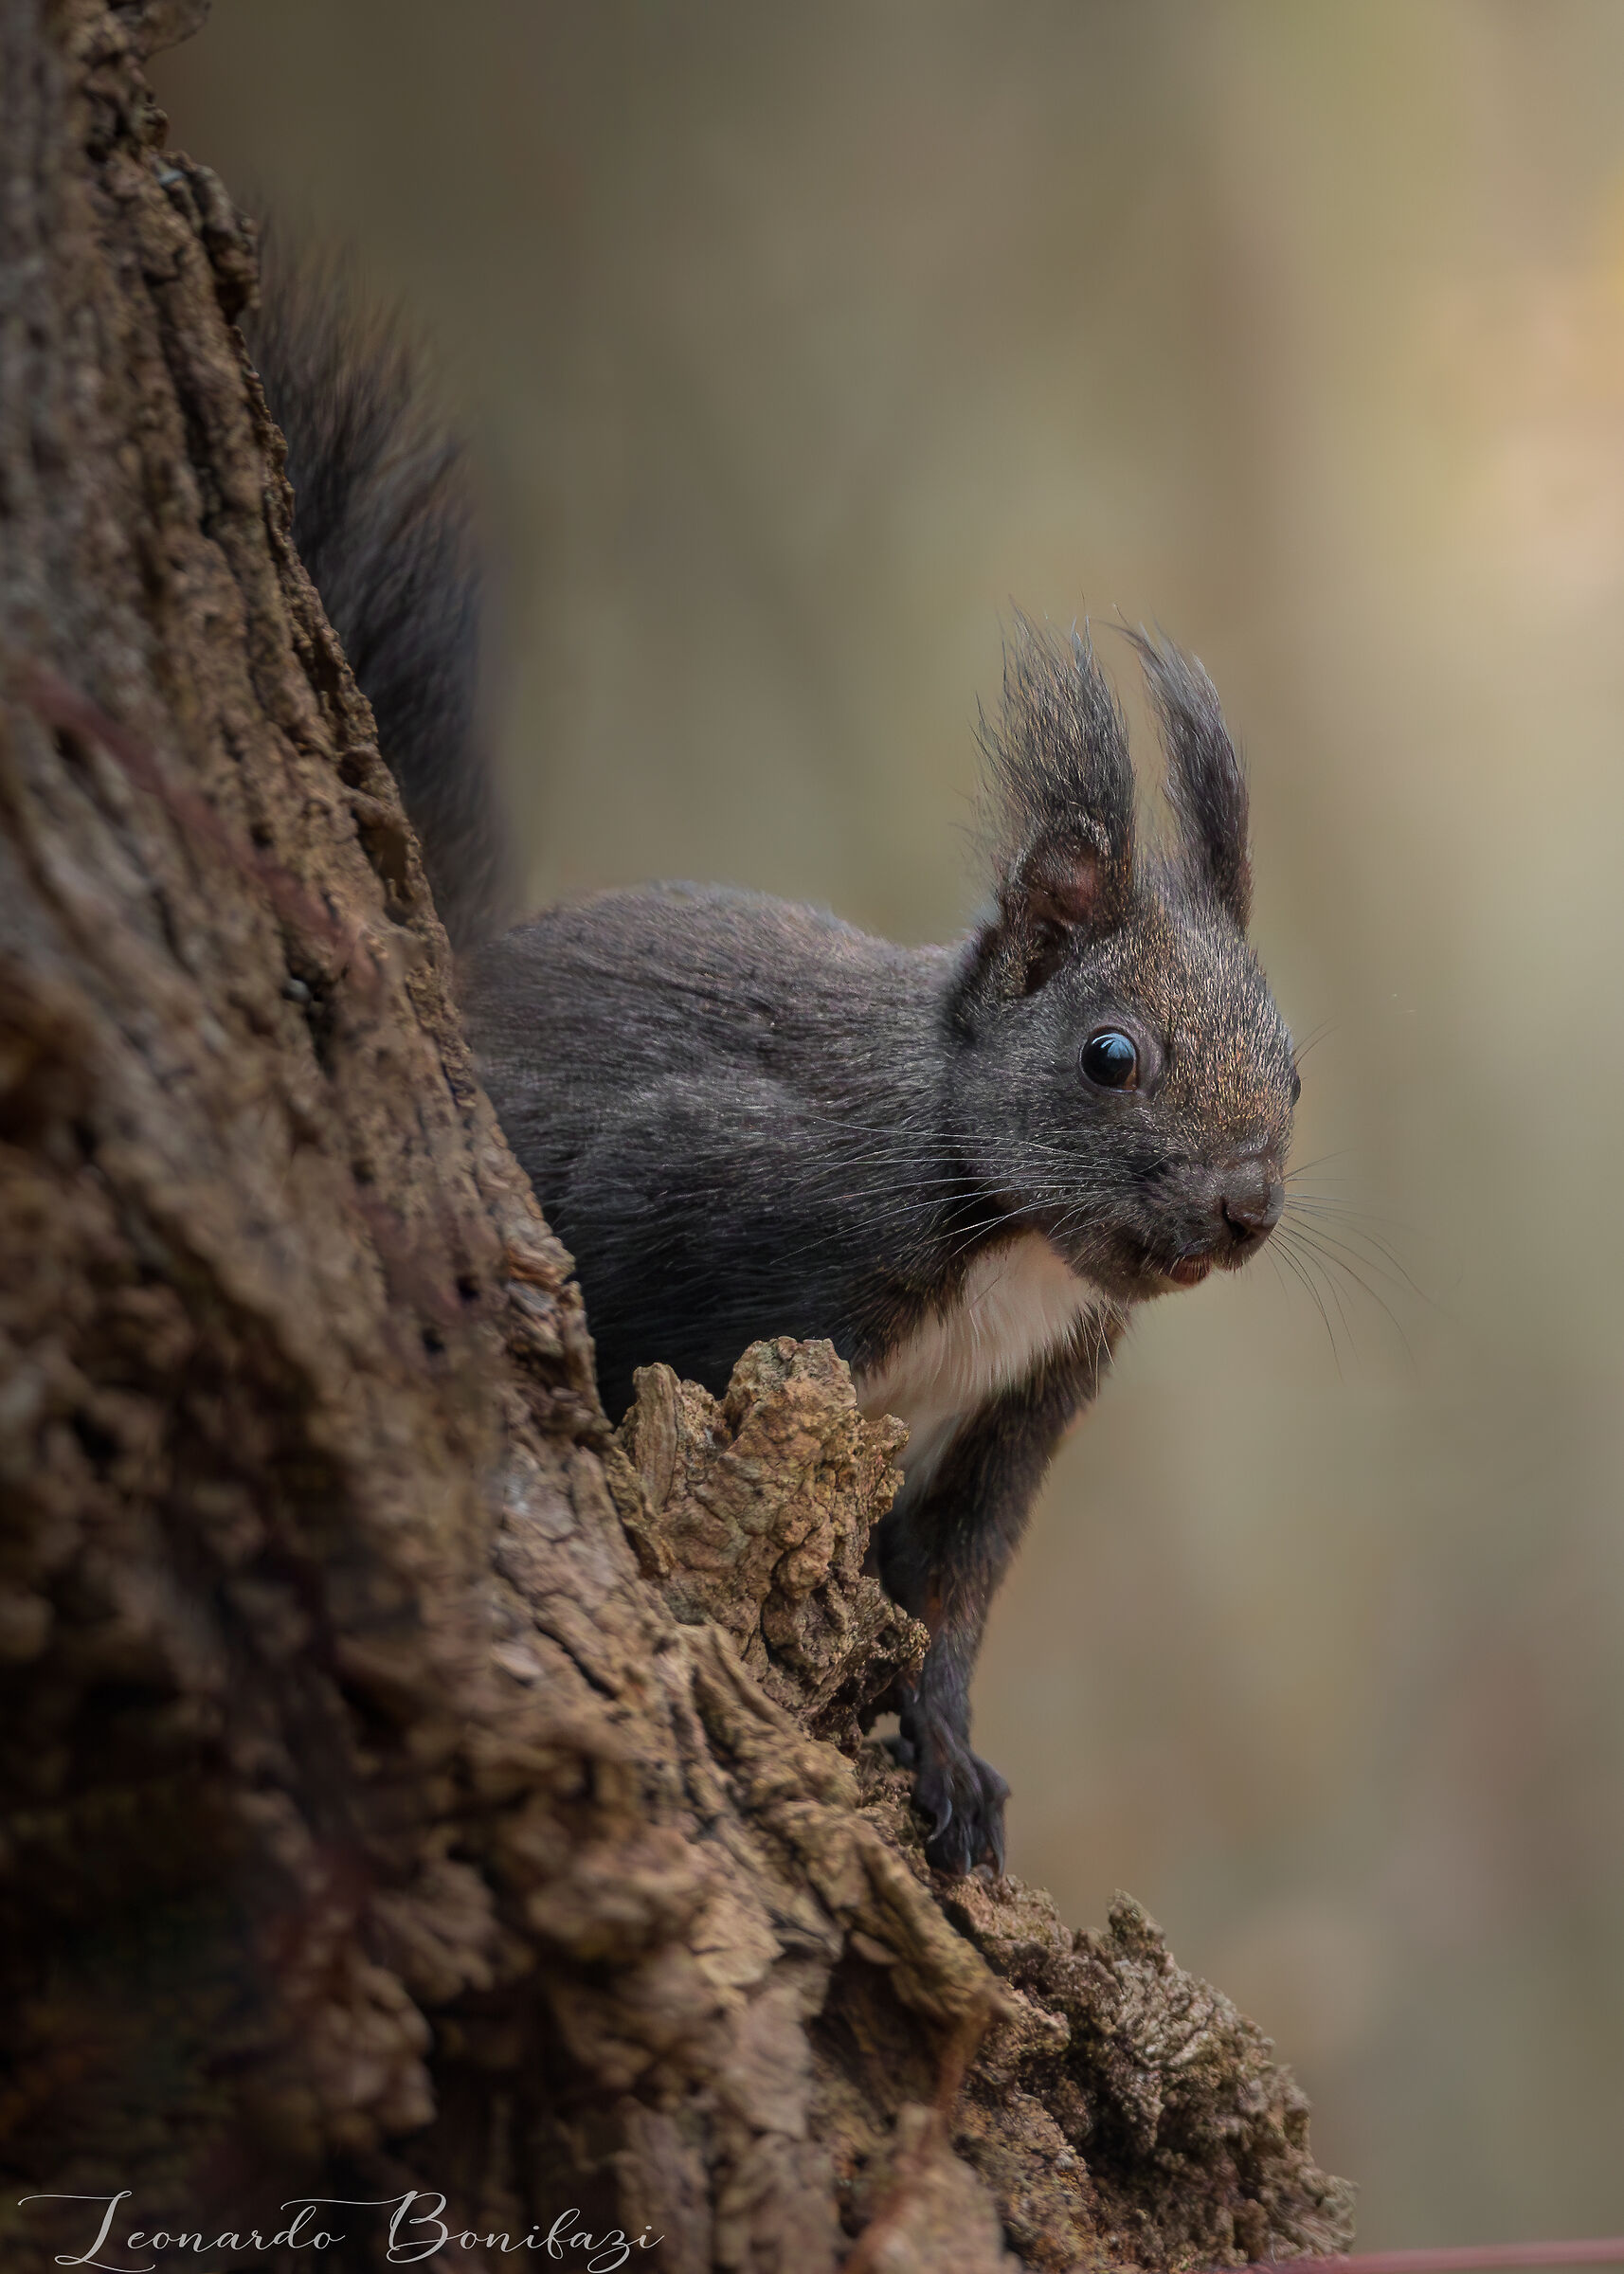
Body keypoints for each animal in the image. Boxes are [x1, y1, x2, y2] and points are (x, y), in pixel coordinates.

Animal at [249, 261, 1298, 1877]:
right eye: (1108, 1056)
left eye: (1294, 1075)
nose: (1243, 1211)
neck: (1003, 1234)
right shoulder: (722, 1200)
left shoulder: (1025, 1407)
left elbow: (951, 1593)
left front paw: (948, 1757)